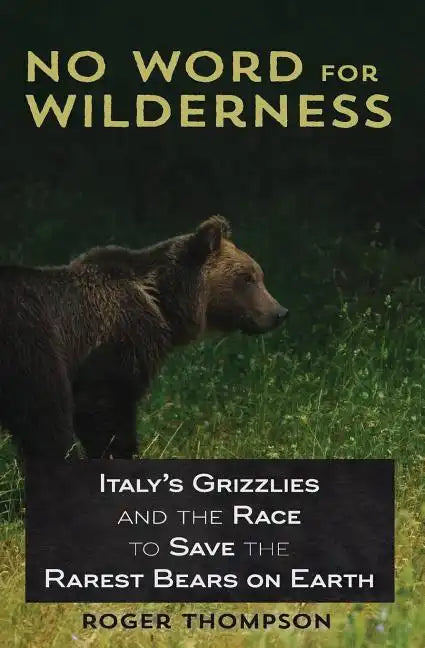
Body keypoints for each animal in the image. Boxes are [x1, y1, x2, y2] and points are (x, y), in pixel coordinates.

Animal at [0, 216, 288, 461]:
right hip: (32, 348)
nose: (279, 312)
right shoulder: (114, 342)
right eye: (247, 278)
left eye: (259, 275)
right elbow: (104, 412)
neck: (162, 303)